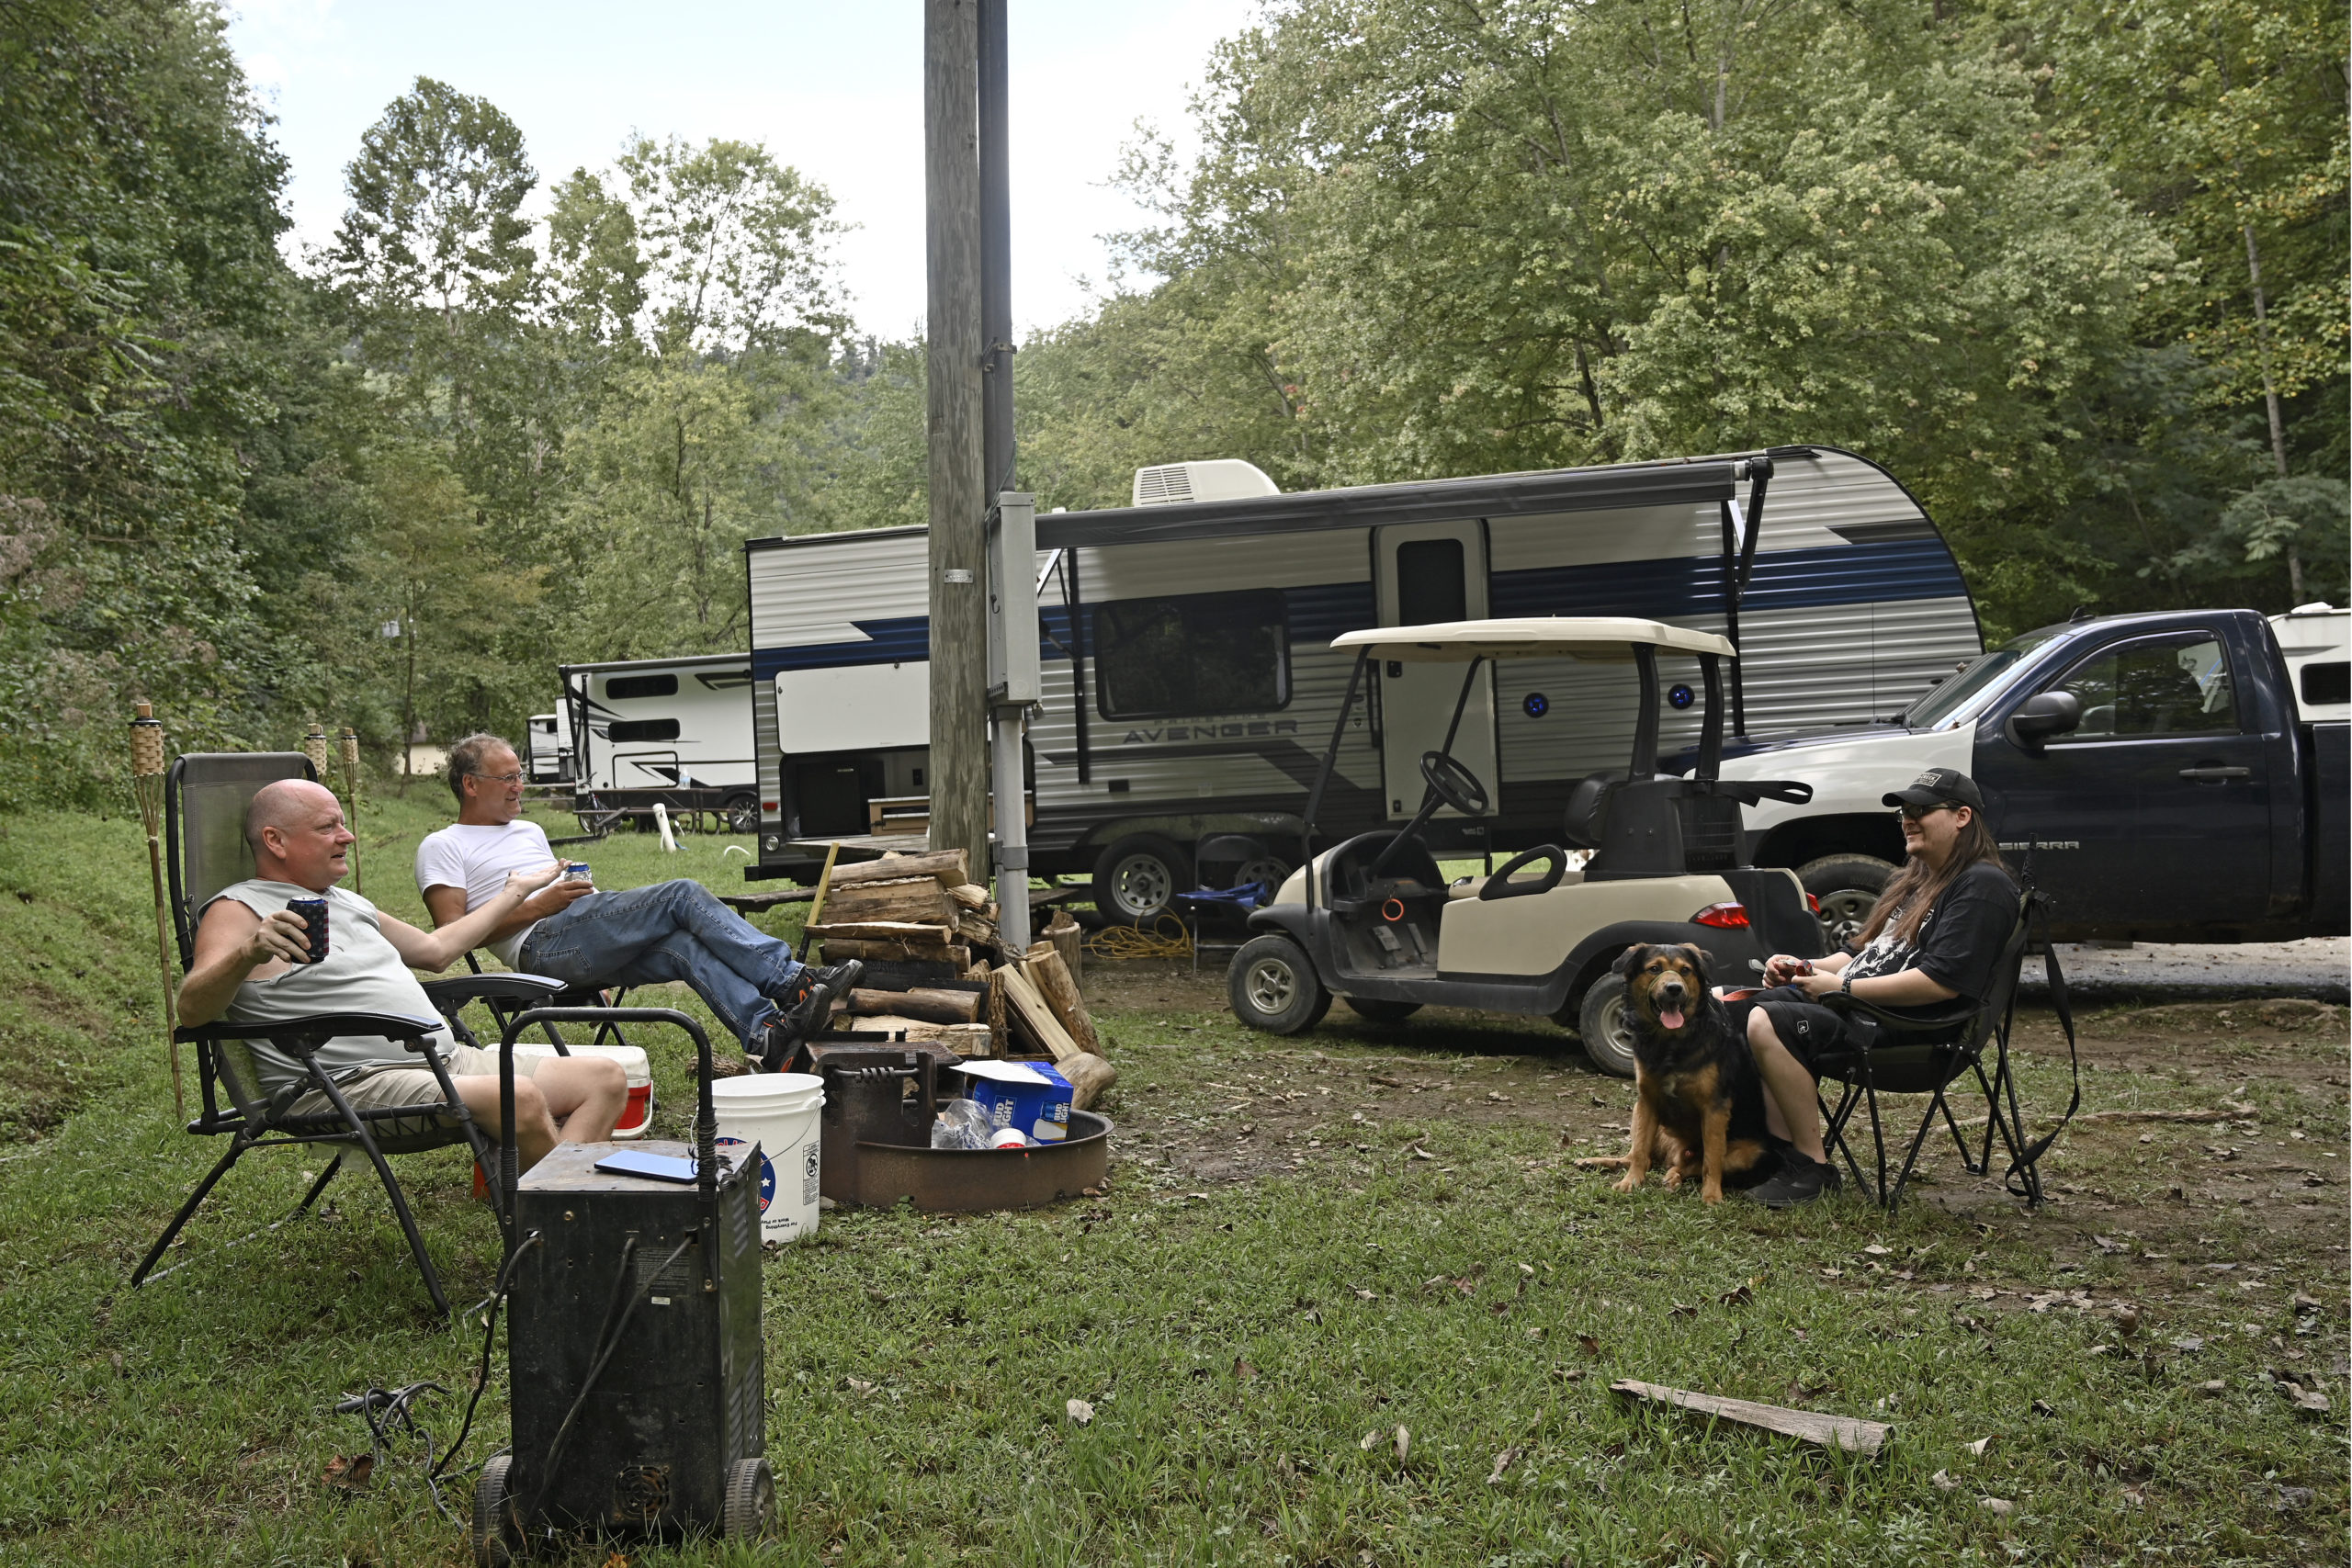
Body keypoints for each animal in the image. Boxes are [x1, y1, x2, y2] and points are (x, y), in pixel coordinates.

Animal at [1589, 944, 1769, 1203]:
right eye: (1654, 968)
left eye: (1685, 970)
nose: (1674, 988)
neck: (1671, 1043)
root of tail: (1677, 1153)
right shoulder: (1647, 1100)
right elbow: (1640, 1151)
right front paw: (1630, 1182)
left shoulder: (1714, 1108)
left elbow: (1711, 1160)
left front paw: (1711, 1195)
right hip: (1641, 1115)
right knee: (1639, 1157)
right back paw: (1594, 1161)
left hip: (1750, 1153)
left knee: (1687, 1167)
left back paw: (1673, 1178)